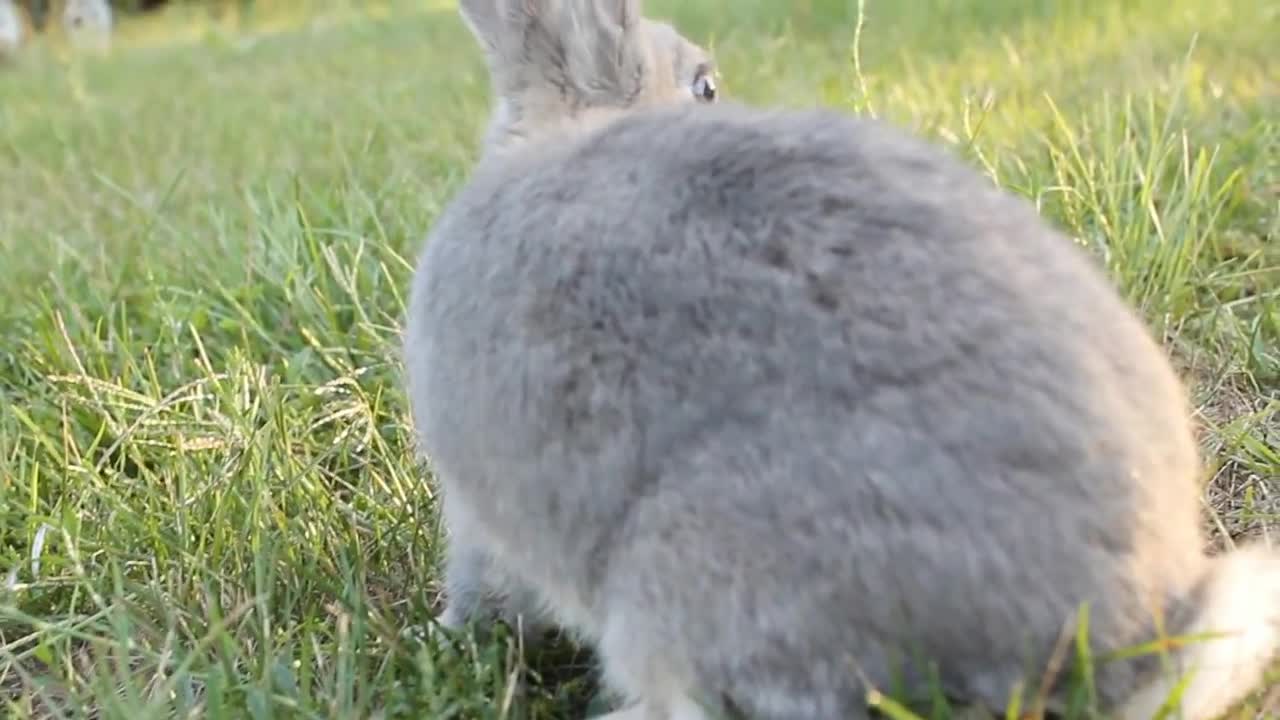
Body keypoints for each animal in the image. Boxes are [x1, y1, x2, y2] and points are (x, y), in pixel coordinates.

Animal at [401, 1, 1280, 717]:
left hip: (699, 585)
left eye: (706, 86)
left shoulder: (478, 516)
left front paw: (442, 631)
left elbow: (484, 584)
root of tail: (1113, 641)